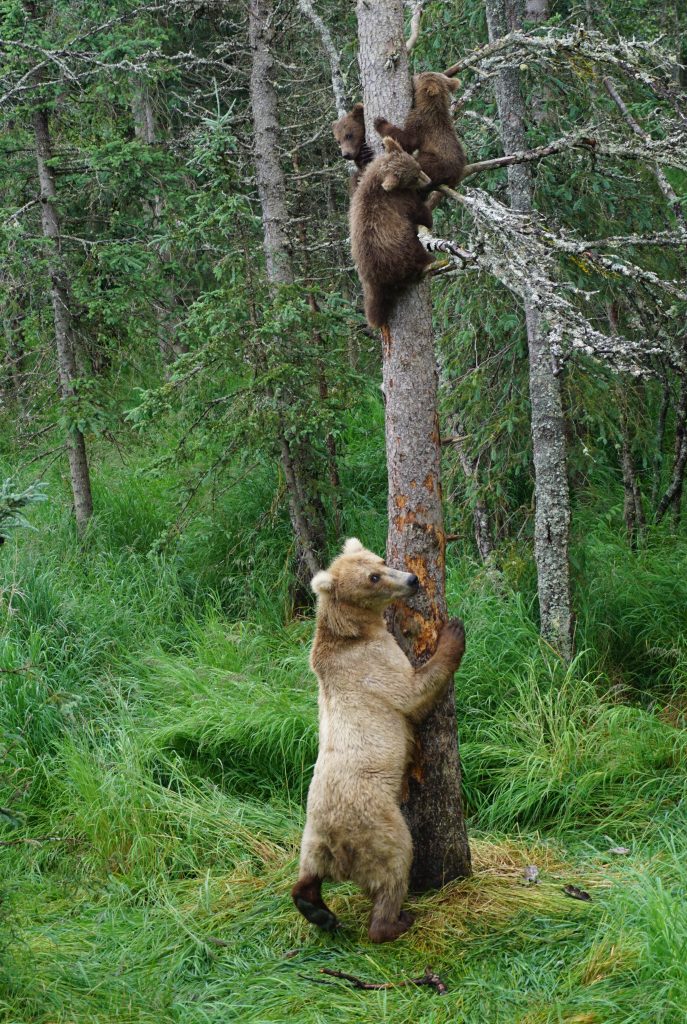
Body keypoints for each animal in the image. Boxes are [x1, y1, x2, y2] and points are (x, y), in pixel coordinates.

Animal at [290, 536, 466, 942]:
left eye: (381, 561)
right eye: (373, 577)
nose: (413, 579)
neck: (353, 631)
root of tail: (336, 845)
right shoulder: (371, 662)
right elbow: (411, 691)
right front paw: (453, 631)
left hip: (311, 832)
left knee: (307, 871)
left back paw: (316, 909)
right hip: (376, 822)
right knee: (394, 864)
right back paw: (394, 921)